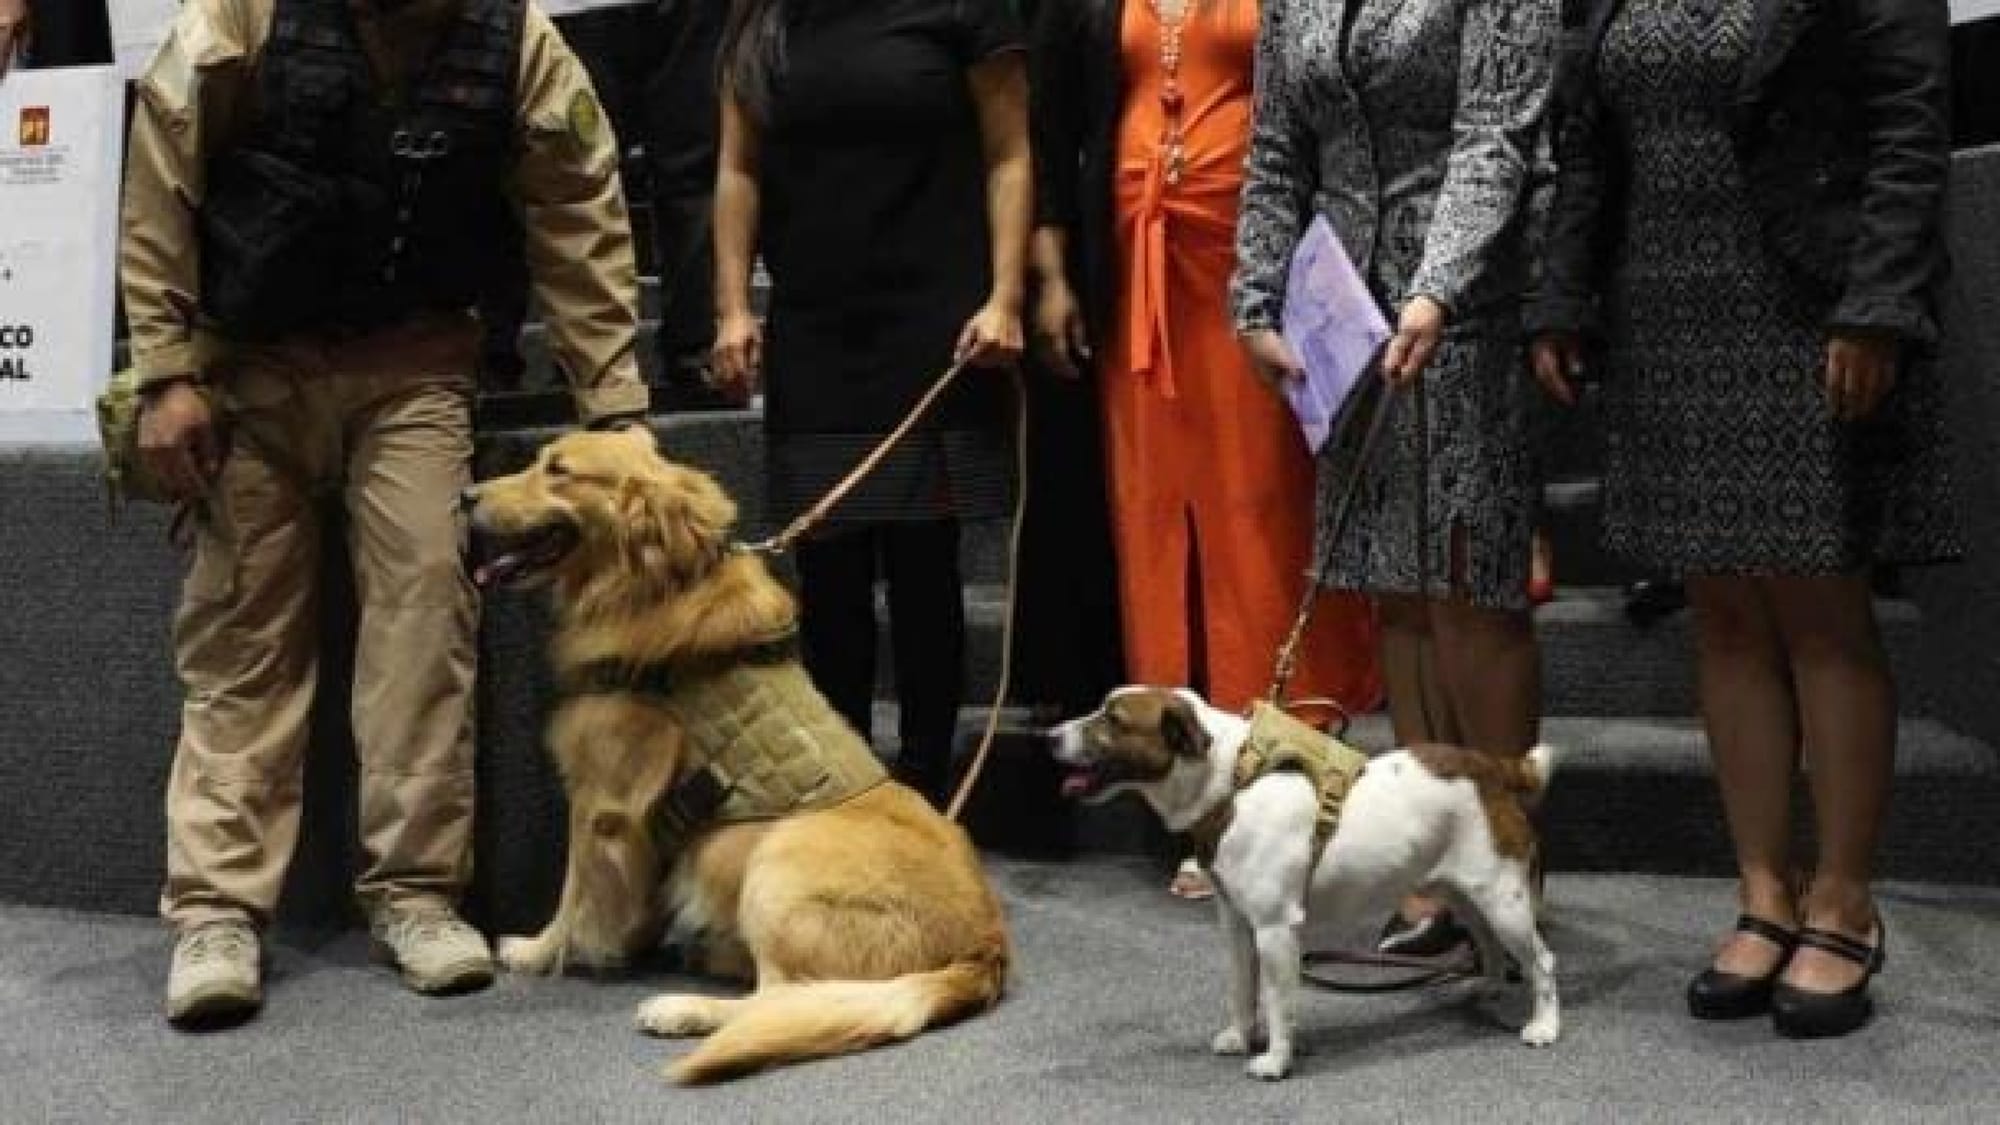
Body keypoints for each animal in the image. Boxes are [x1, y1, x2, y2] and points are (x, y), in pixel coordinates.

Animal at [460, 426, 1008, 1080]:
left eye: (558, 470)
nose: (465, 496)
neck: (656, 583)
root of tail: (987, 948)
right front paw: (624, 941)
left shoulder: (600, 799)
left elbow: (574, 893)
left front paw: (539, 951)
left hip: (778, 859)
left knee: (780, 998)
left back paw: (682, 1008)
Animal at [1056, 684, 1552, 1080]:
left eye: (1113, 720)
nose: (1049, 736)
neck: (1234, 782)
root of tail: (1490, 766)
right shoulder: (1236, 923)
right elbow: (1241, 989)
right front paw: (1241, 1036)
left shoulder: (1275, 930)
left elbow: (1278, 1002)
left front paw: (1276, 1060)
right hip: (1463, 892)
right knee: (1486, 939)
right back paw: (1489, 985)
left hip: (1503, 900)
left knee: (1541, 961)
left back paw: (1545, 1025)